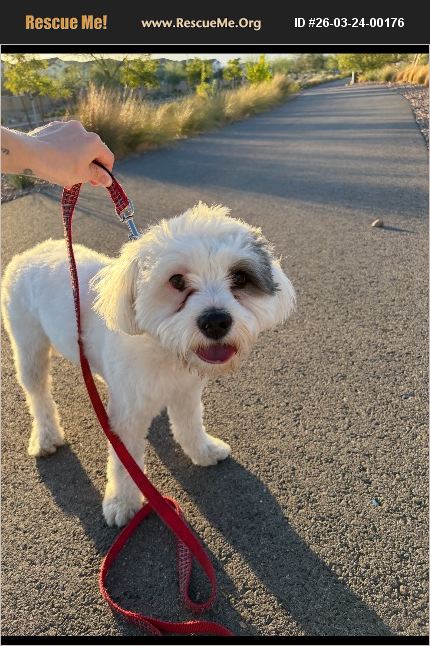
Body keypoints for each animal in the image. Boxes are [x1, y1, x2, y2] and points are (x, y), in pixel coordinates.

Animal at [2, 202, 296, 526]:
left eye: (240, 278)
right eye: (177, 281)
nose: (216, 321)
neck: (164, 348)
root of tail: (34, 250)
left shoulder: (186, 391)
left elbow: (189, 425)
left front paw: (203, 450)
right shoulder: (127, 418)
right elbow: (124, 463)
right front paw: (122, 502)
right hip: (28, 344)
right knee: (38, 393)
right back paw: (46, 436)